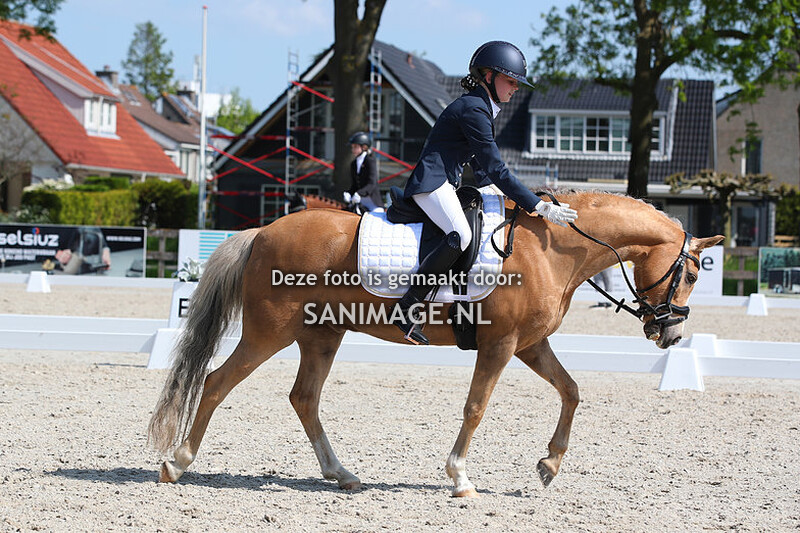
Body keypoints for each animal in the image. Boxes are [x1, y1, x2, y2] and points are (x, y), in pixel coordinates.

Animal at [148, 191, 723, 497]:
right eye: (694, 273)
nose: (670, 334)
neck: (551, 249)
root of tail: (263, 231)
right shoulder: (501, 345)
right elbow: (476, 407)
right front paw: (461, 478)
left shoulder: (530, 345)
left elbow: (572, 391)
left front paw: (549, 465)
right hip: (270, 332)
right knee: (217, 382)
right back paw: (176, 463)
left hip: (322, 335)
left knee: (304, 398)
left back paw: (342, 475)